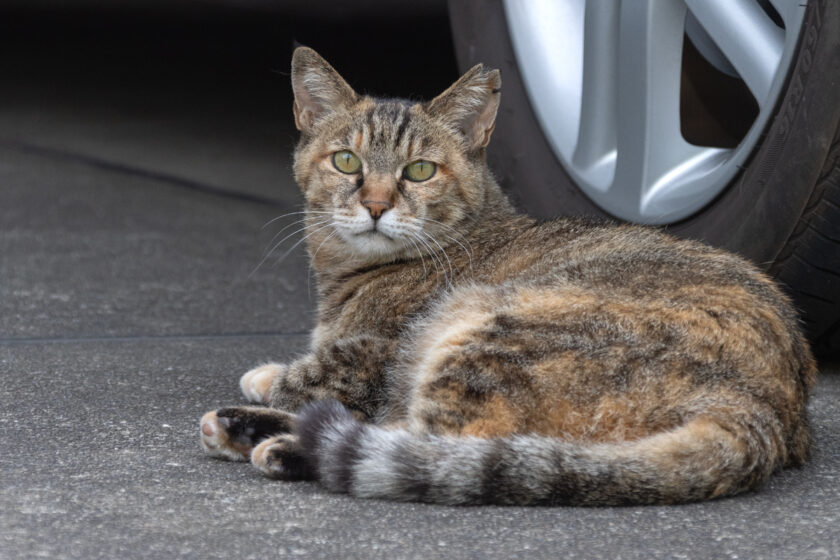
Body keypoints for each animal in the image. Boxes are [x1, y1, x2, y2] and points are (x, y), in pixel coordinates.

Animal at [197, 46, 812, 506]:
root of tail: (760, 404)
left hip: (485, 332)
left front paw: (274, 380)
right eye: (346, 161)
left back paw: (269, 438)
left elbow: (311, 375)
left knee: (432, 449)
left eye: (420, 170)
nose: (375, 205)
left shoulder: (375, 353)